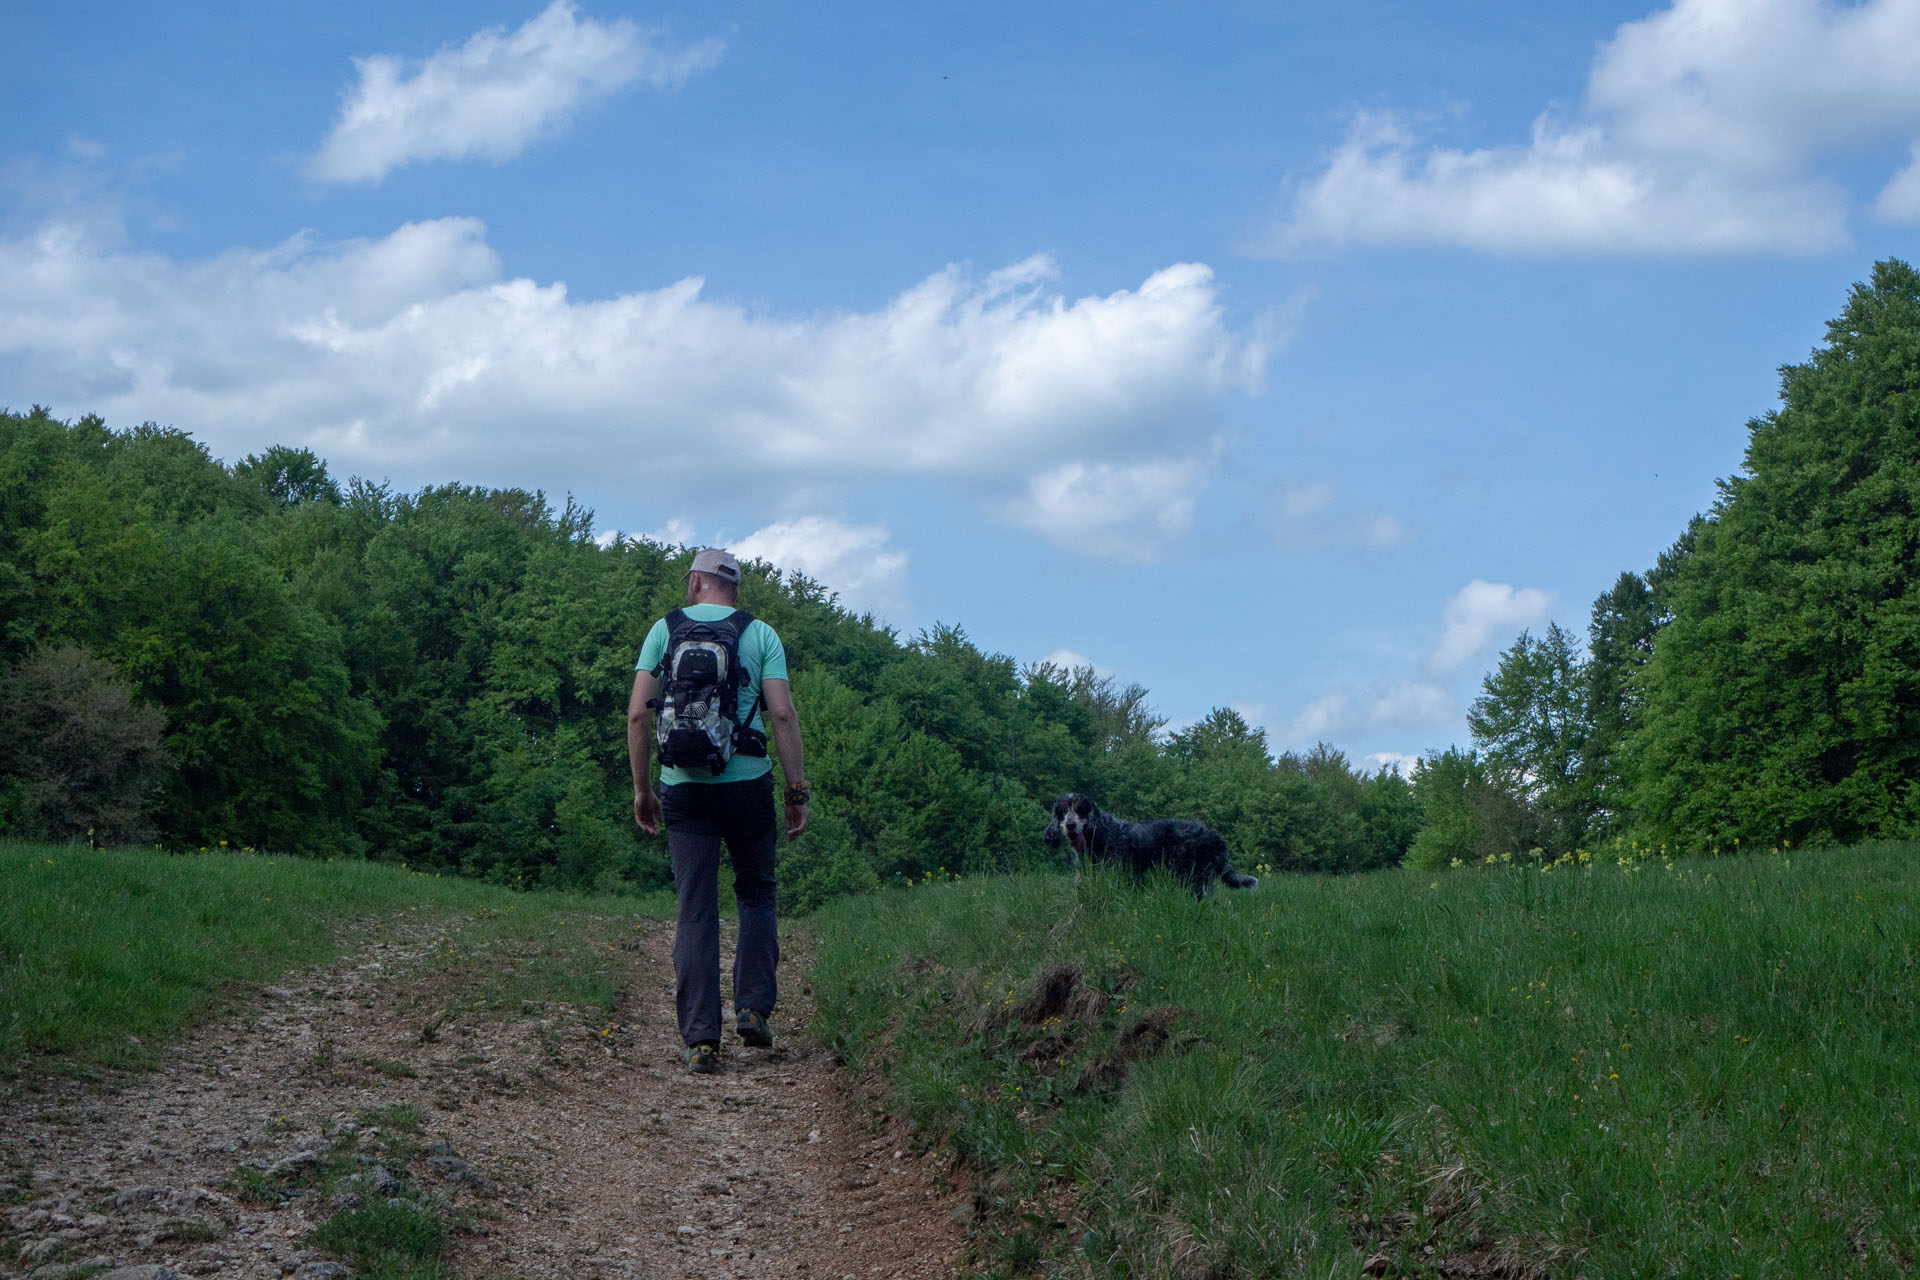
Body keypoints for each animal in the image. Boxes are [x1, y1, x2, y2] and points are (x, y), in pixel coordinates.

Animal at [1052, 794, 1259, 898]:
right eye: (1062, 810)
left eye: (1080, 808)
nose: (1070, 825)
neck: (1100, 835)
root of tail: (1214, 835)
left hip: (1191, 877)